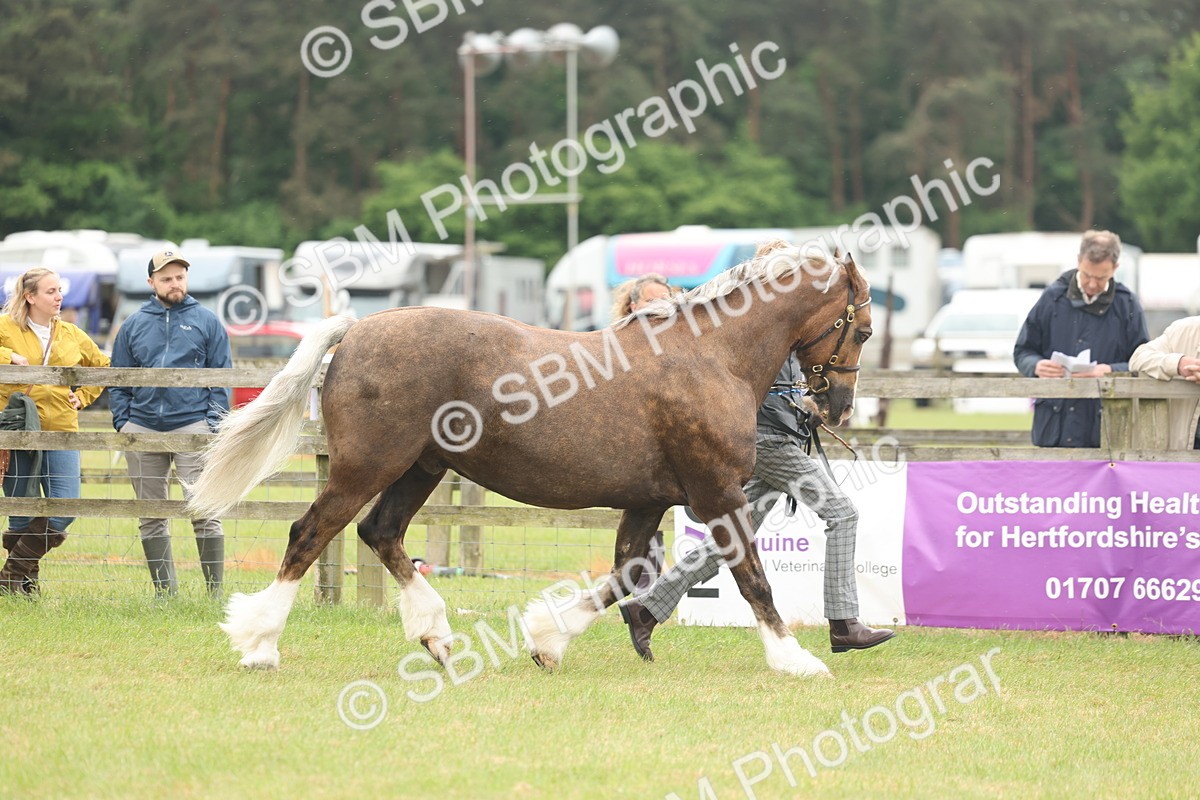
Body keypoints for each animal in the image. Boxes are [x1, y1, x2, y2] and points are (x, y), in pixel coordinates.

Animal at [187, 246, 872, 676]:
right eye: (862, 330)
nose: (835, 407)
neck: (711, 356)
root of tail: (354, 330)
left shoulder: (648, 500)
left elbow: (628, 574)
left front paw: (548, 642)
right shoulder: (716, 495)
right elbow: (753, 578)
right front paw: (795, 659)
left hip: (421, 469)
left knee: (380, 533)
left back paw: (436, 635)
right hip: (367, 467)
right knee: (311, 533)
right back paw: (259, 644)